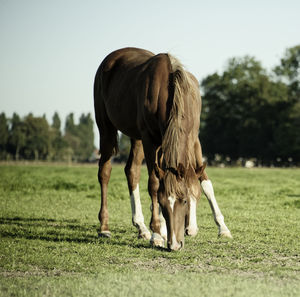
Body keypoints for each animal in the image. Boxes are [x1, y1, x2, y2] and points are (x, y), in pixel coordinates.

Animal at [94, 46, 232, 250]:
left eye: (187, 199)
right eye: (164, 203)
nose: (176, 243)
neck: (172, 91)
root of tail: (112, 58)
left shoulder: (193, 139)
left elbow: (205, 182)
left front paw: (223, 228)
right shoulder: (150, 140)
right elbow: (154, 183)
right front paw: (158, 233)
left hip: (137, 137)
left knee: (132, 171)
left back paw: (142, 227)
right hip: (107, 128)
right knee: (104, 171)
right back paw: (105, 227)